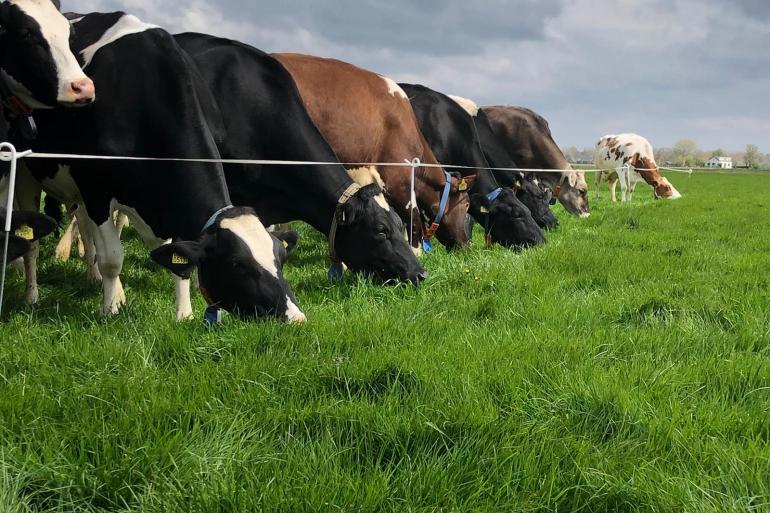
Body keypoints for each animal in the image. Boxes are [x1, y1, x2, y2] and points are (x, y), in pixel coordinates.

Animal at [3, 10, 304, 322]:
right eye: (236, 264)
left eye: (280, 258)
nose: (296, 318)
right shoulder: (96, 190)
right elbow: (112, 257)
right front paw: (109, 310)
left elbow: (175, 259)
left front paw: (183, 314)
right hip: (26, 173)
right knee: (33, 241)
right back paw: (32, 295)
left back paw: (93, 278)